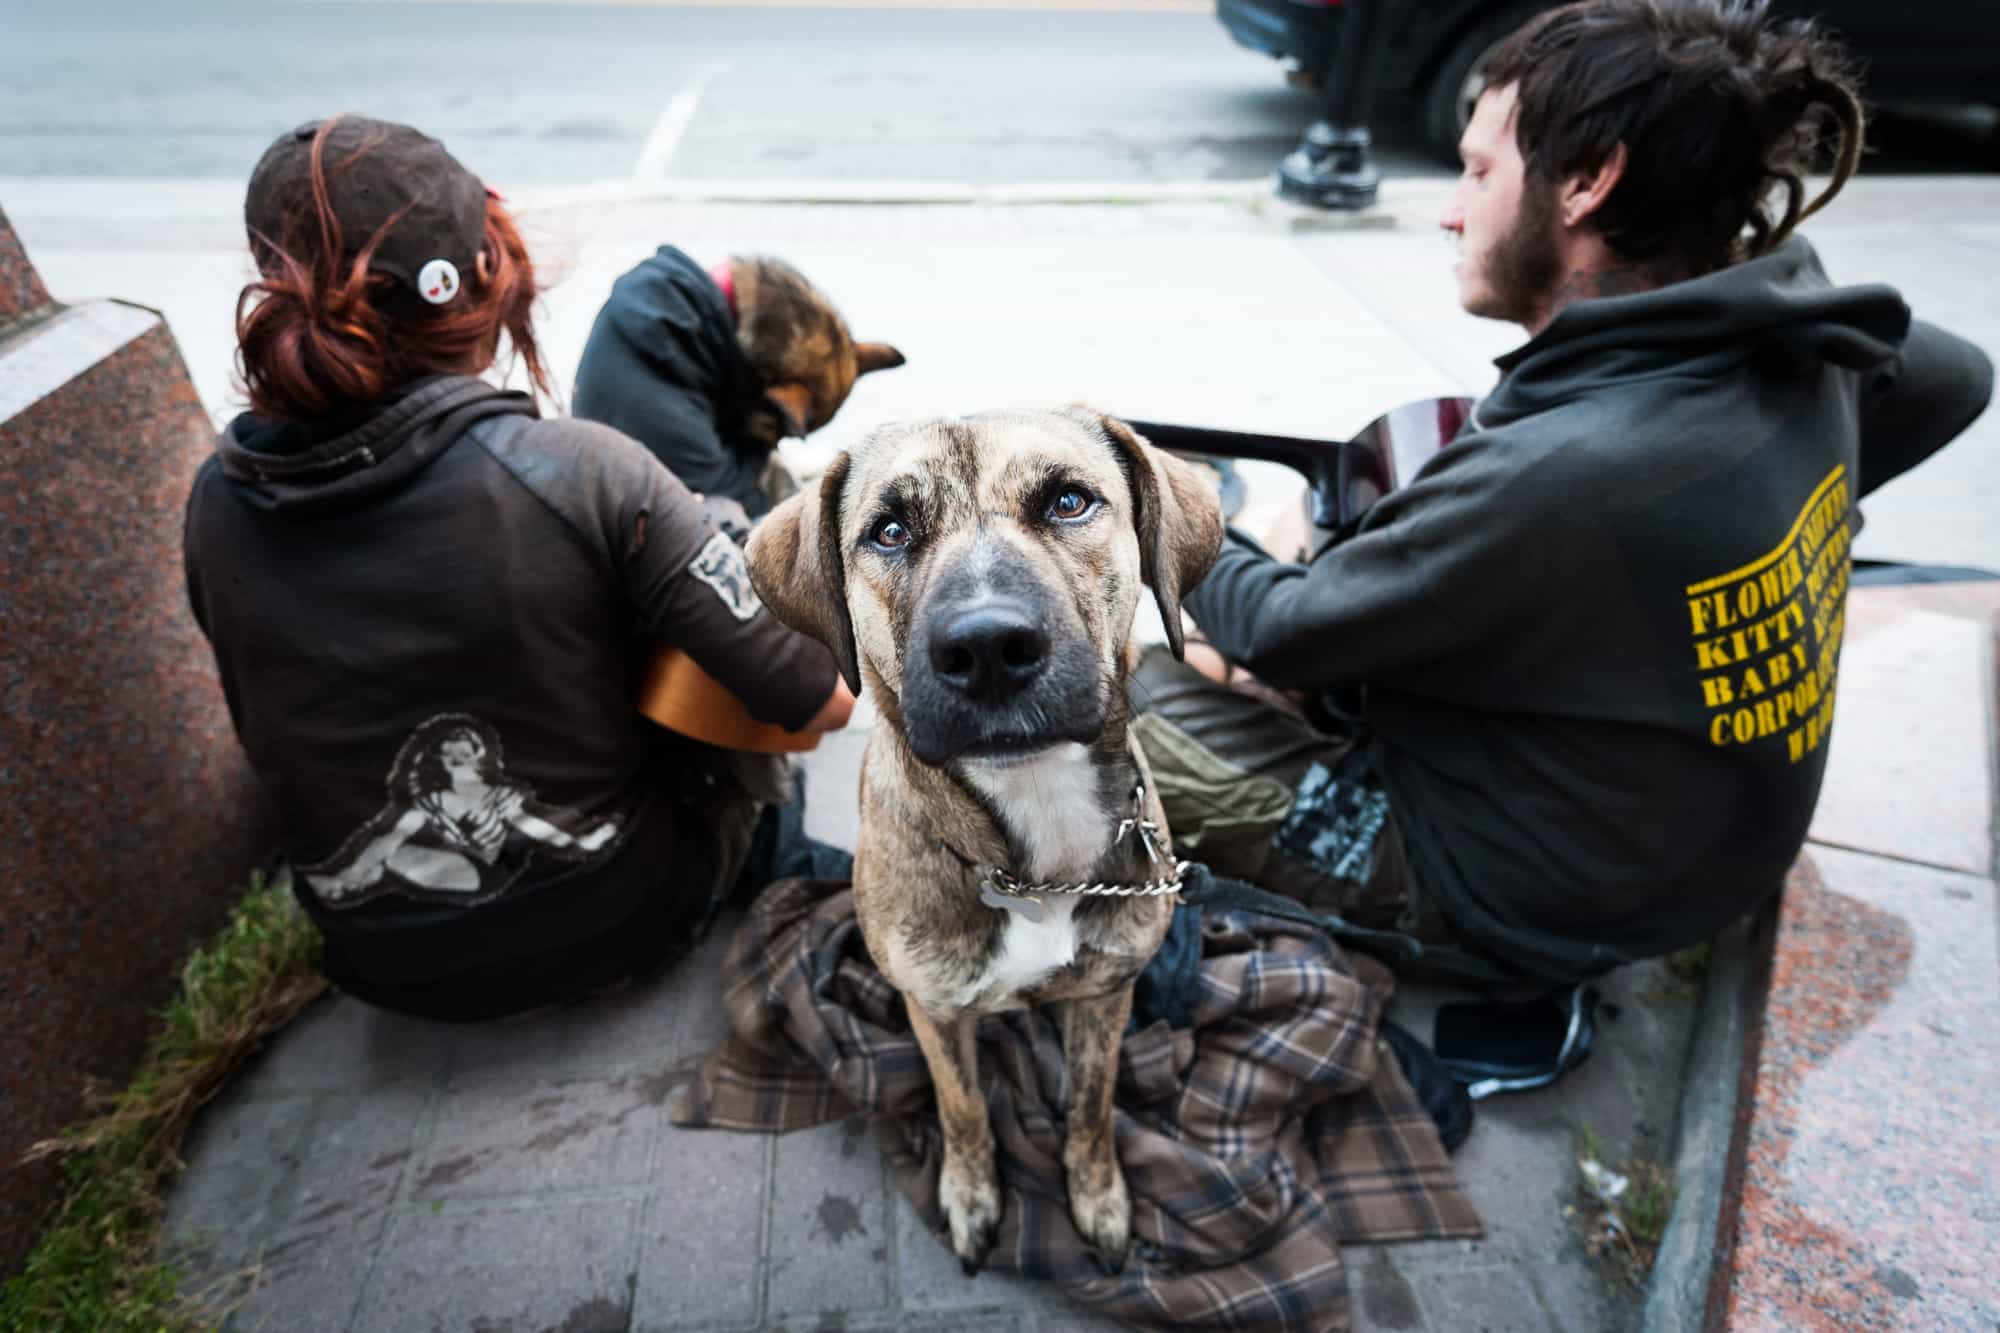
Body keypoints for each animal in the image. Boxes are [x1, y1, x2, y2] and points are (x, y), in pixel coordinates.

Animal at [748, 402, 1216, 1264]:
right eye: (890, 529)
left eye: (1069, 501)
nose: (989, 647)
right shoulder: (933, 1009)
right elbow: (962, 1105)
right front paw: (970, 1194)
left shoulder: (1107, 992)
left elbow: (1093, 1101)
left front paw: (1098, 1194)